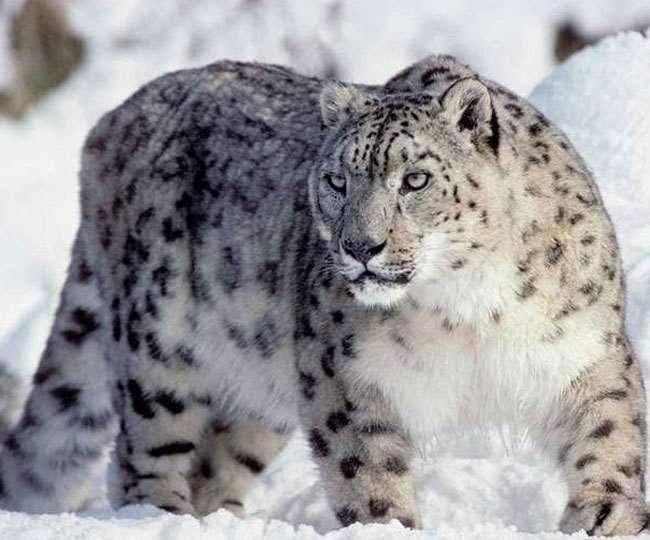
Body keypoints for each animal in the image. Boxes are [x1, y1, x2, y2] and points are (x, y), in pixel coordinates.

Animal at [0, 54, 647, 536]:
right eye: (337, 180)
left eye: (415, 179)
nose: (361, 246)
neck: (468, 309)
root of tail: (110, 123)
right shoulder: (346, 372)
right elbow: (368, 468)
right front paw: (386, 526)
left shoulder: (584, 350)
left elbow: (610, 431)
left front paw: (607, 514)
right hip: (157, 337)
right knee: (141, 453)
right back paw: (161, 516)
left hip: (259, 383)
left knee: (218, 460)